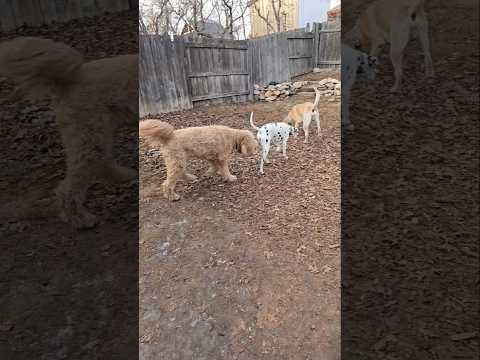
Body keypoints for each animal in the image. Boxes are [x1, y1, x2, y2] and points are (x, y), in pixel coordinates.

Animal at [0, 36, 137, 228]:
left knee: (101, 163)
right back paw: (80, 219)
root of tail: (71, 77)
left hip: (94, 133)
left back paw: (124, 175)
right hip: (90, 135)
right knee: (71, 186)